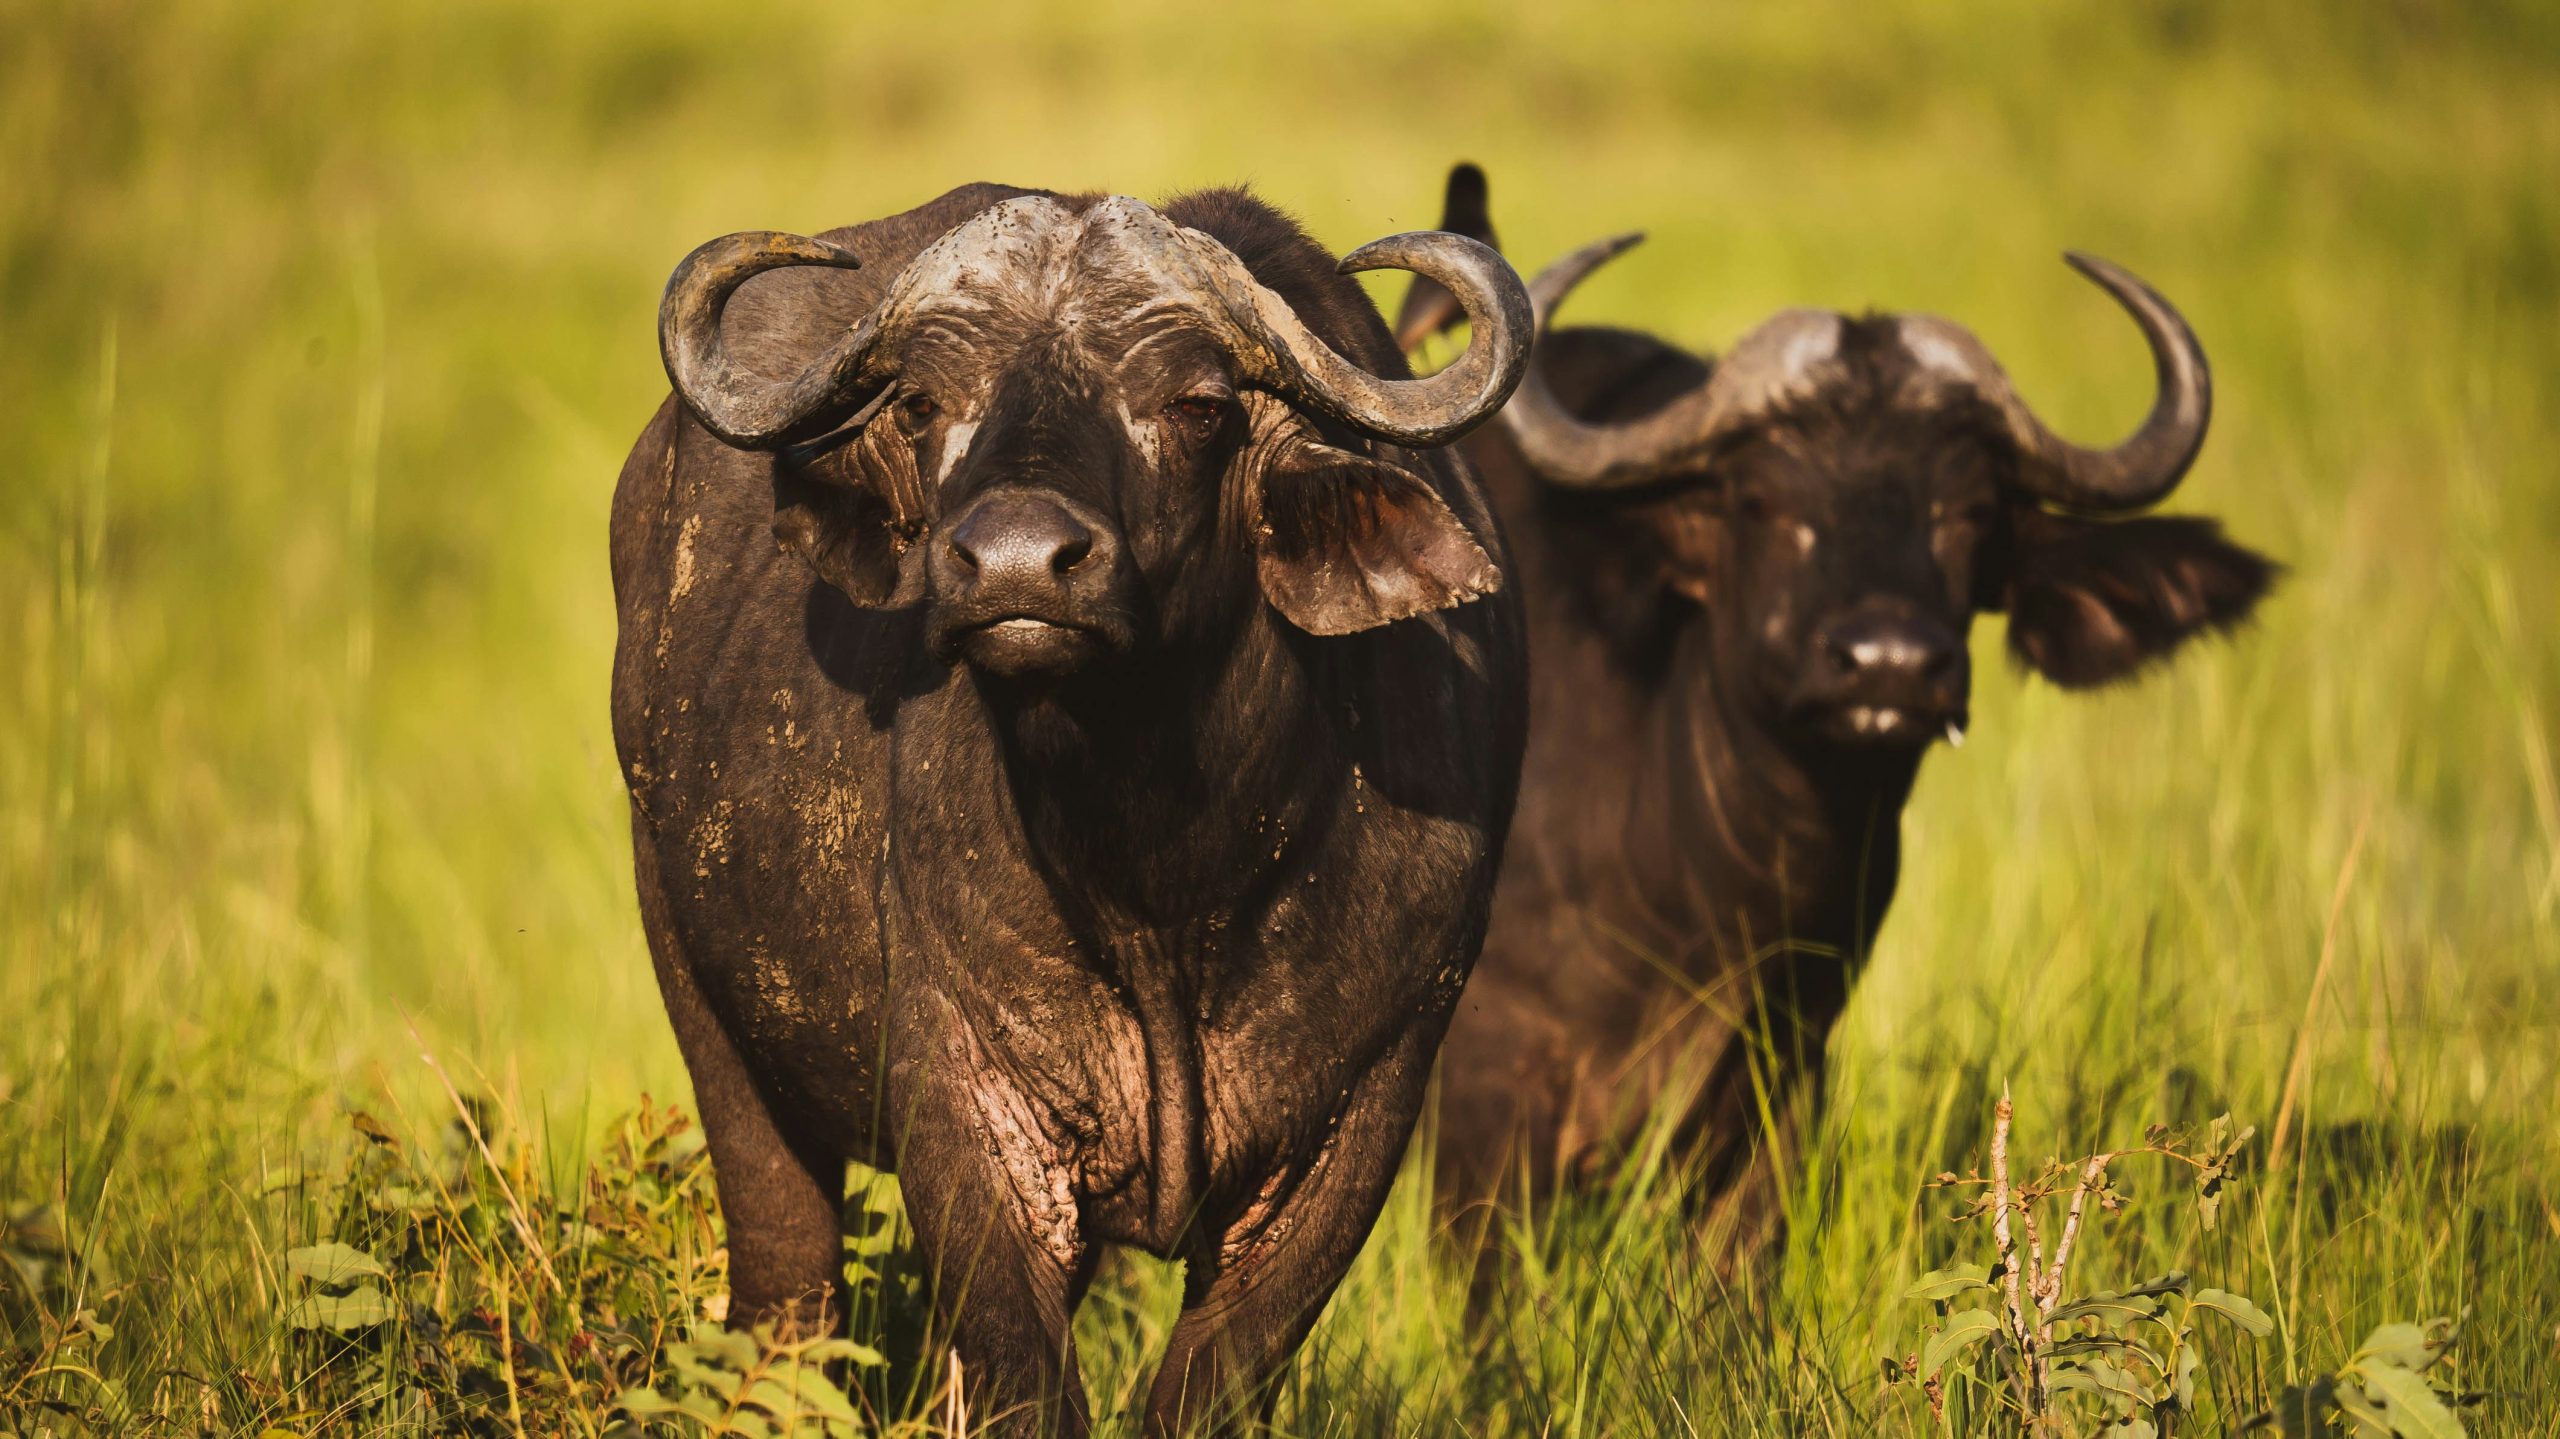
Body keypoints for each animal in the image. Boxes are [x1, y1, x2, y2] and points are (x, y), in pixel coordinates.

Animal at [609, 184, 1525, 1423]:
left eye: (1197, 404)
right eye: (923, 404)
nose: (1011, 564)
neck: (1165, 880)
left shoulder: (1360, 1116)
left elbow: (1208, 1384)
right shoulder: (972, 1116)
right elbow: (1020, 1373)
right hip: (704, 999)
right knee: (786, 1291)